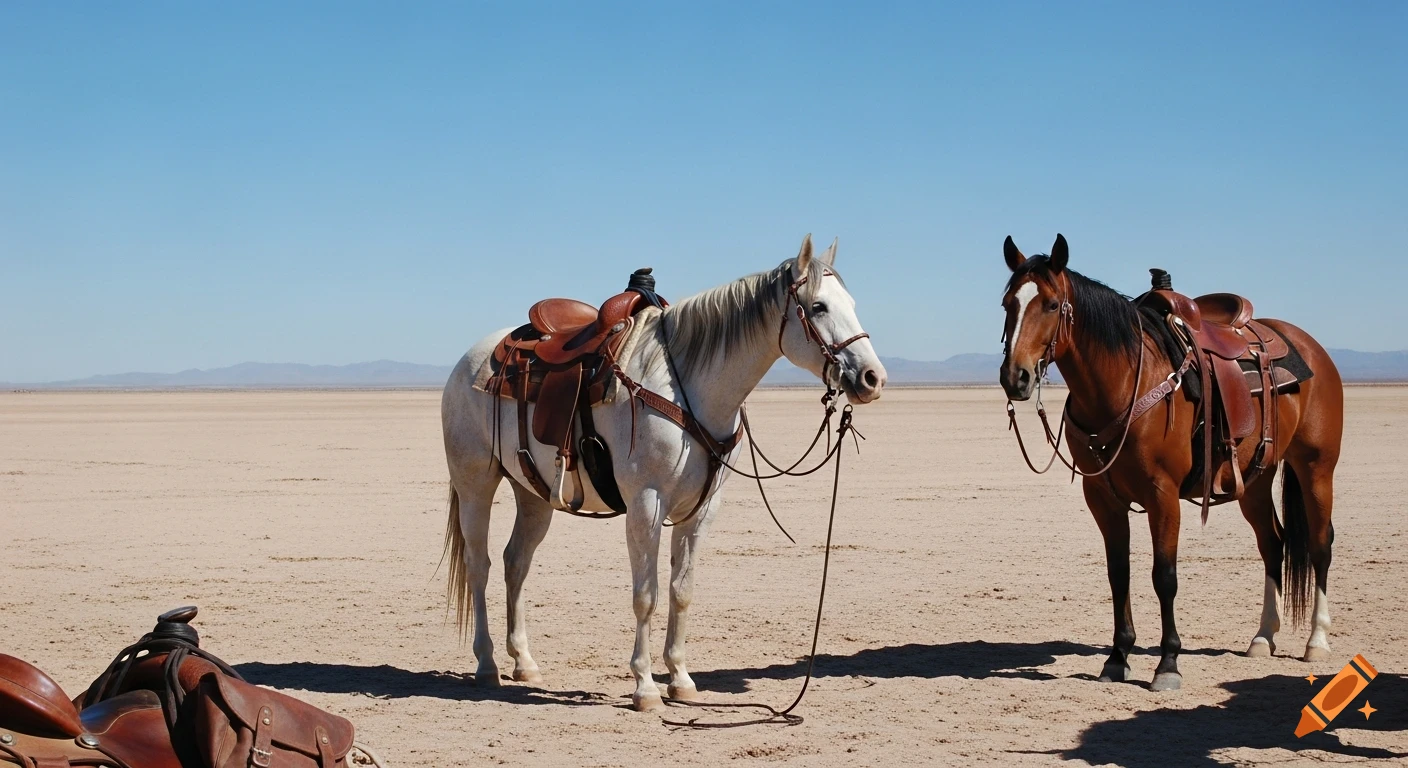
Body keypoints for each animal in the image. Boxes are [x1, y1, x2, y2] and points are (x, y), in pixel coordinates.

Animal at [441, 235, 886, 711]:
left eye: (851, 303)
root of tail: (467, 361)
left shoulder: (702, 509)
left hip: (533, 493)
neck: (688, 386)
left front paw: (681, 680)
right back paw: (487, 665)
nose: (872, 378)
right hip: (475, 484)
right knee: (480, 565)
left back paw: (524, 662)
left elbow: (681, 591)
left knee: (516, 563)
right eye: (818, 306)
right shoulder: (646, 504)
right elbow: (647, 596)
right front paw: (645, 687)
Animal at [998, 234, 1343, 691]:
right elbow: (1119, 573)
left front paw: (1168, 664)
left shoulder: (1162, 495)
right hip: (1254, 478)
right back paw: (1262, 637)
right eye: (1008, 304)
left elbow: (1164, 576)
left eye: (1052, 305)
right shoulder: (1102, 497)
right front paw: (1117, 657)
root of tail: (1310, 346)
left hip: (1316, 466)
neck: (1123, 382)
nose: (1014, 377)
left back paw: (1316, 641)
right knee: (1273, 543)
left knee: (1320, 544)